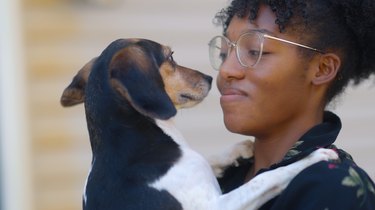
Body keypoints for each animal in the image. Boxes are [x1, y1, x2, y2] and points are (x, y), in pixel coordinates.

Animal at [61, 38, 338, 209]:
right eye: (171, 57)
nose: (209, 77)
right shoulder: (217, 205)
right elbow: (265, 178)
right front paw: (312, 158)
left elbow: (209, 158)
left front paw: (238, 150)